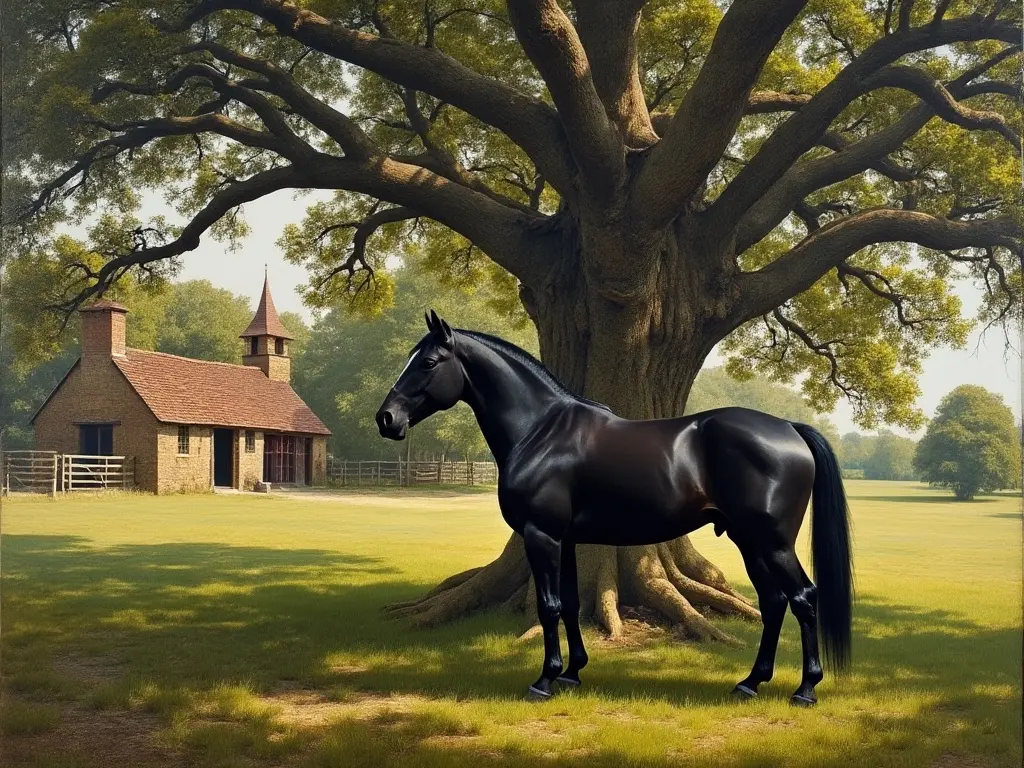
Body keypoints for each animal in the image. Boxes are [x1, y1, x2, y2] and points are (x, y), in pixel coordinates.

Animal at [376, 309, 856, 708]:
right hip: (749, 541)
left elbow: (549, 605)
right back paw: (750, 682)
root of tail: (789, 428)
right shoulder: (565, 540)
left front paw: (544, 681)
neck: (541, 432)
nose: (386, 419)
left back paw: (805, 690)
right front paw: (572, 673)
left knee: (803, 597)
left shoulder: (541, 535)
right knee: (774, 602)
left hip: (773, 542)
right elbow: (570, 603)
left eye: (428, 362)